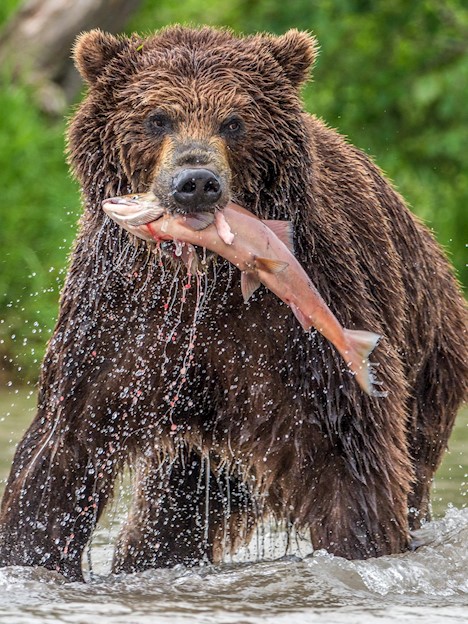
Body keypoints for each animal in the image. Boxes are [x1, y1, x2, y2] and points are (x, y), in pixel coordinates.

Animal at [0, 24, 466, 580]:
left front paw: (363, 544)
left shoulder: (295, 330)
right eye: (157, 118)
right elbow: (62, 451)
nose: (196, 182)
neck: (203, 273)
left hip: (428, 366)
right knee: (169, 517)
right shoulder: (122, 318)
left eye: (235, 120)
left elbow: (350, 461)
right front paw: (29, 556)